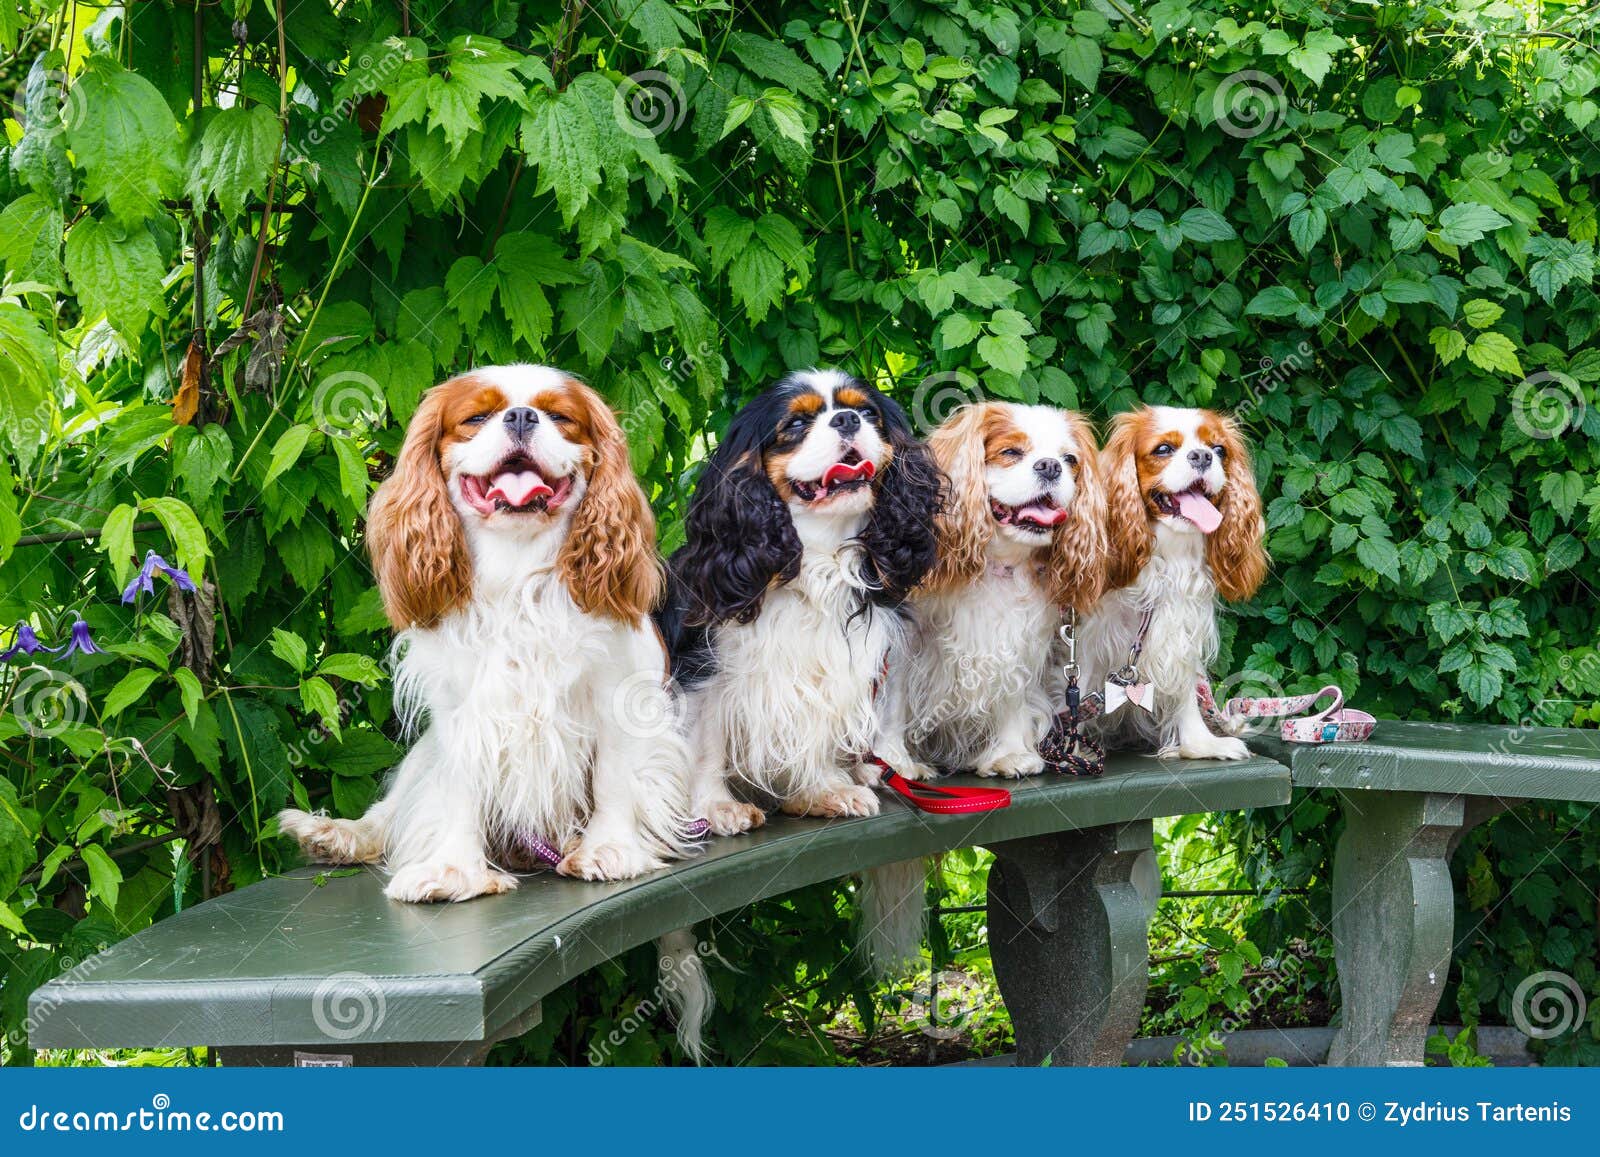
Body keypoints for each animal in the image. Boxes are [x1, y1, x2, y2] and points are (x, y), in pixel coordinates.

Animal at [280, 366, 700, 902]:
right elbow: (460, 789)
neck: (516, 567)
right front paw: (453, 869)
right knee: (393, 811)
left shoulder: (621, 698)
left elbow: (614, 777)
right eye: (476, 418)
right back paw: (335, 835)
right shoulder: (462, 709)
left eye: (560, 417)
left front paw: (608, 849)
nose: (521, 416)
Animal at [1081, 404, 1267, 761]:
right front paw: (1065, 746)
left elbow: (1186, 692)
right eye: (1164, 449)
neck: (1165, 559)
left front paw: (1200, 743)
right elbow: (1076, 689)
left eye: (1219, 449)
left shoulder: (1179, 629)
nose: (1203, 456)